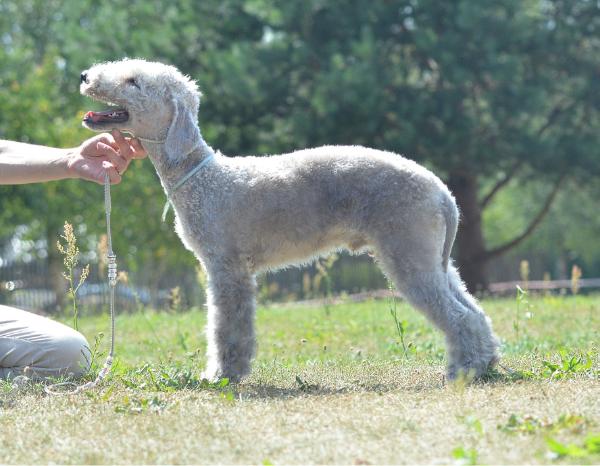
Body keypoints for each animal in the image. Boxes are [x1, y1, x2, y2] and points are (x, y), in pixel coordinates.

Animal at [81, 58, 502, 380]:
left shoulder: (227, 268)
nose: (85, 75)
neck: (200, 176)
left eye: (134, 82)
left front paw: (222, 375)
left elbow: (227, 328)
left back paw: (465, 369)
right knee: (472, 310)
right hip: (432, 257)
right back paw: (485, 362)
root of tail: (443, 192)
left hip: (408, 251)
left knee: (458, 315)